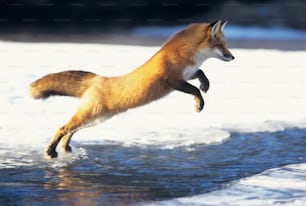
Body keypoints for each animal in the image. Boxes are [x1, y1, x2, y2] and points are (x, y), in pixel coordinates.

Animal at [29, 19, 234, 159]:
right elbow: (195, 90)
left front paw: (205, 85)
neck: (186, 53)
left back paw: (65, 148)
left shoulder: (187, 74)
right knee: (63, 128)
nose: (233, 57)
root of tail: (98, 79)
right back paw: (50, 151)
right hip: (91, 115)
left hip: (96, 119)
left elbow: (201, 73)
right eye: (222, 45)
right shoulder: (173, 80)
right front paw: (199, 104)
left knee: (70, 131)